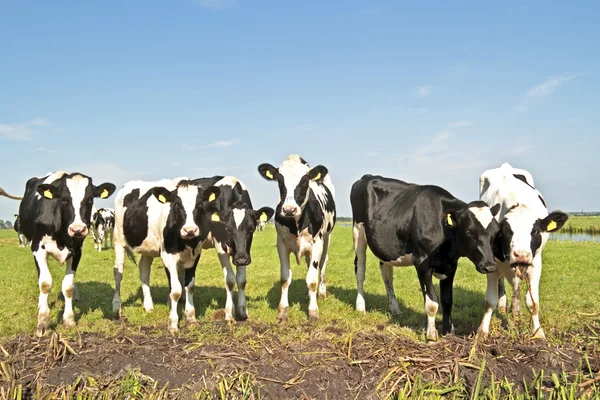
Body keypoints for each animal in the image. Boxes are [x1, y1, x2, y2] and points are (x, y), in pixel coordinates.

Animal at [15, 170, 116, 336]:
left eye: (89, 199)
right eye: (63, 199)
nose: (77, 229)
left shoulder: (77, 252)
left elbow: (68, 286)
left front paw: (68, 319)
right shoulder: (37, 248)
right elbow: (44, 283)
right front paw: (43, 322)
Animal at [112, 179, 220, 334]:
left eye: (200, 204)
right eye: (176, 204)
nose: (190, 230)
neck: (187, 242)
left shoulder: (195, 256)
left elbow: (189, 287)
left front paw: (191, 318)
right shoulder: (168, 255)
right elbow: (175, 291)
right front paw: (173, 324)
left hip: (148, 248)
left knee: (144, 271)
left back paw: (148, 306)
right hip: (118, 239)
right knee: (118, 273)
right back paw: (116, 307)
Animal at [352, 175, 502, 340]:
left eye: (496, 232)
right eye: (469, 232)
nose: (490, 265)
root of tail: (368, 176)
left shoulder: (451, 264)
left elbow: (447, 300)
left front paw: (448, 331)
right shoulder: (422, 262)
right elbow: (432, 302)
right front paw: (431, 335)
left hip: (386, 246)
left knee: (387, 273)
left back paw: (395, 309)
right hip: (358, 231)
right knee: (360, 270)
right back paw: (360, 307)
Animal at [476, 164, 568, 340]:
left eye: (535, 231)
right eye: (506, 230)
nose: (522, 255)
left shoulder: (535, 263)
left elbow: (533, 303)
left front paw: (538, 332)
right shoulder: (492, 264)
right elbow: (489, 301)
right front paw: (482, 331)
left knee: (516, 284)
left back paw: (516, 310)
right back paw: (505, 305)